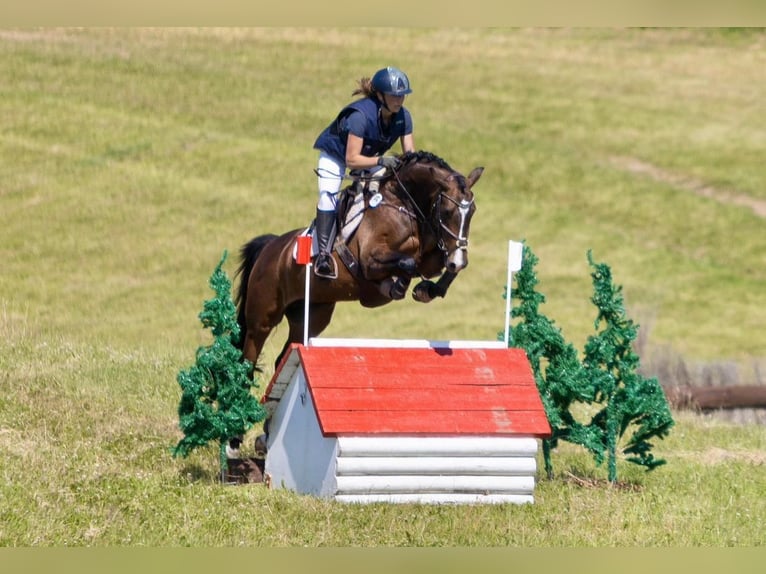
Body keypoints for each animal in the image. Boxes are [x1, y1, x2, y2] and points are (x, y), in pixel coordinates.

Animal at [234, 150, 484, 372]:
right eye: (448, 211)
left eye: (472, 211)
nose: (460, 260)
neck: (402, 203)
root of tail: (270, 247)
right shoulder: (370, 261)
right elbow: (407, 263)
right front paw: (395, 287)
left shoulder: (432, 257)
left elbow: (435, 267)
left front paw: (427, 289)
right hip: (262, 319)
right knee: (247, 360)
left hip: (311, 316)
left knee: (284, 355)